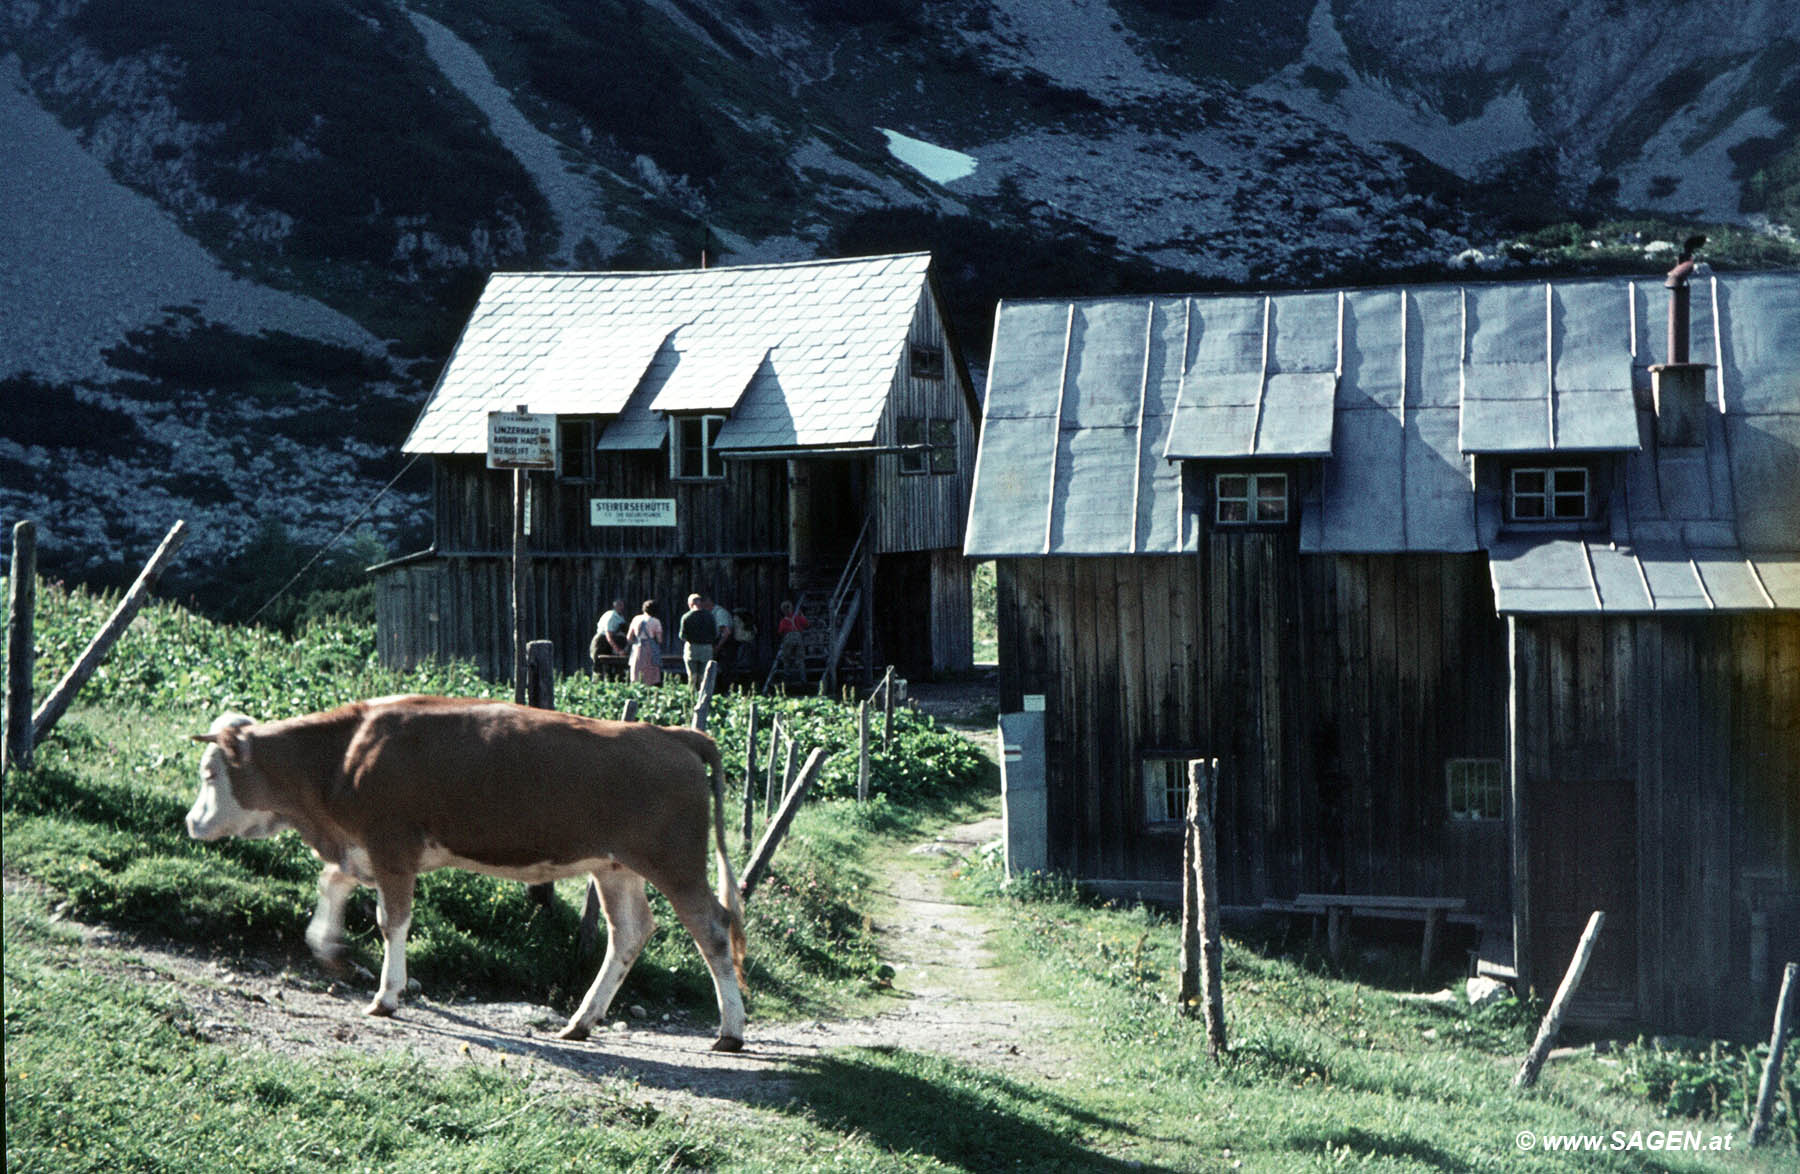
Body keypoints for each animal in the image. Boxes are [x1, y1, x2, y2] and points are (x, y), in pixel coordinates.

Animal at [184, 691, 745, 1051]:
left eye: (210, 773)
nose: (191, 822)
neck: (342, 755)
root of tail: (671, 733)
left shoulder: (392, 844)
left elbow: (392, 922)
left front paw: (386, 996)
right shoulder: (359, 847)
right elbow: (332, 885)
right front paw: (332, 950)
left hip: (676, 863)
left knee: (713, 930)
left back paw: (730, 1032)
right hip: (615, 867)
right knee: (629, 932)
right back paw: (581, 1022)